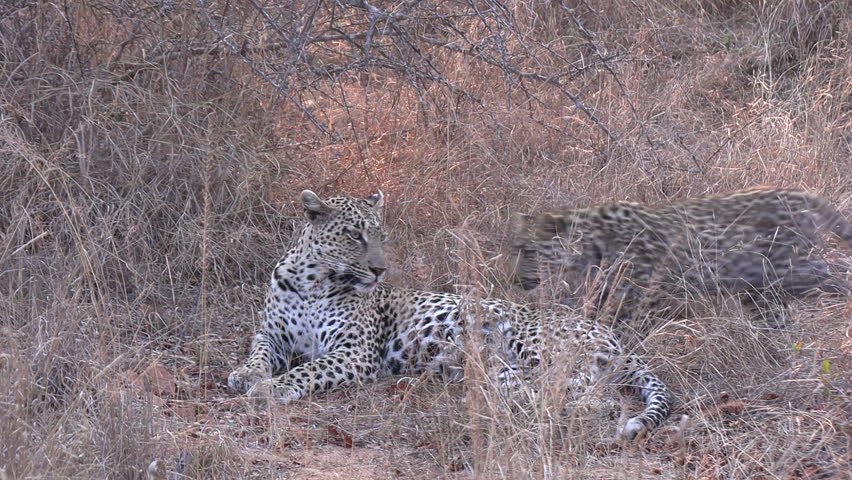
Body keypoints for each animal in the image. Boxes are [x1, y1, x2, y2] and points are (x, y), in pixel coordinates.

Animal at [227, 190, 673, 441]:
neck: (312, 281)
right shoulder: (271, 334)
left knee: (591, 391)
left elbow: (308, 369)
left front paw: (271, 388)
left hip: (533, 340)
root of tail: (613, 336)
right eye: (355, 235)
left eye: (381, 235)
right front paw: (246, 375)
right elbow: (259, 353)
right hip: (503, 364)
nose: (380, 270)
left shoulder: (356, 353)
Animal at [512, 187, 852, 331]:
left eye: (529, 251)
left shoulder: (641, 293)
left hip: (785, 268)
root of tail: (800, 192)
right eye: (518, 250)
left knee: (832, 269)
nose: (517, 280)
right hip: (757, 285)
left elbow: (622, 330)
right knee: (776, 314)